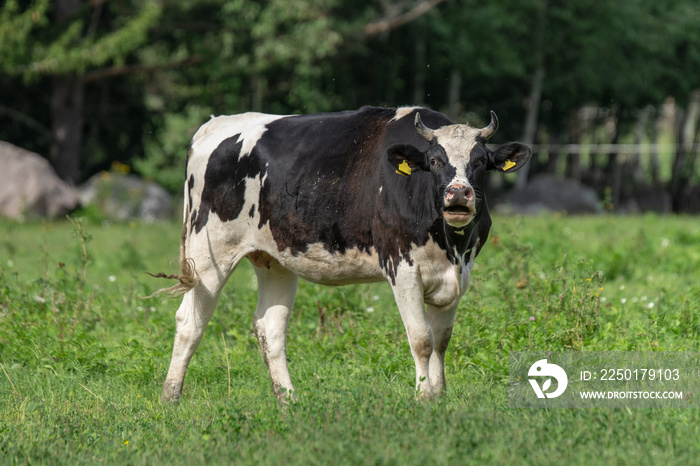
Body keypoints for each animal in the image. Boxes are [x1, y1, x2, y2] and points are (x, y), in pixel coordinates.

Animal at [156, 104, 532, 400]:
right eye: (435, 161)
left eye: (480, 162)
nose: (458, 195)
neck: (449, 245)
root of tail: (213, 125)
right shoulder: (402, 267)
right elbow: (422, 338)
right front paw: (423, 396)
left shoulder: (456, 276)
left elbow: (441, 340)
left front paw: (439, 394)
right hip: (209, 252)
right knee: (190, 322)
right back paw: (170, 397)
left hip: (275, 259)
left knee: (270, 328)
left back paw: (288, 401)